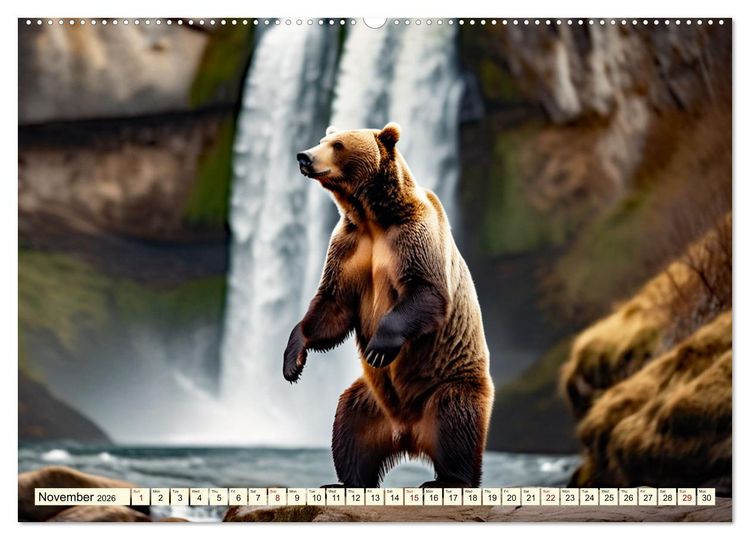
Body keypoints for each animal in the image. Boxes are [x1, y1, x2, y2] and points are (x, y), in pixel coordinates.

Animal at [283, 122, 494, 488]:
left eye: (338, 145)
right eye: (324, 140)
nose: (304, 156)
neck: (373, 217)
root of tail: (408, 434)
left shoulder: (414, 237)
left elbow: (426, 292)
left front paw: (379, 348)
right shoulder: (350, 247)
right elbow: (332, 306)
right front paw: (293, 360)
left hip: (449, 384)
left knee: (456, 422)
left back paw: (447, 480)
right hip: (371, 401)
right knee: (349, 427)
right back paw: (345, 481)